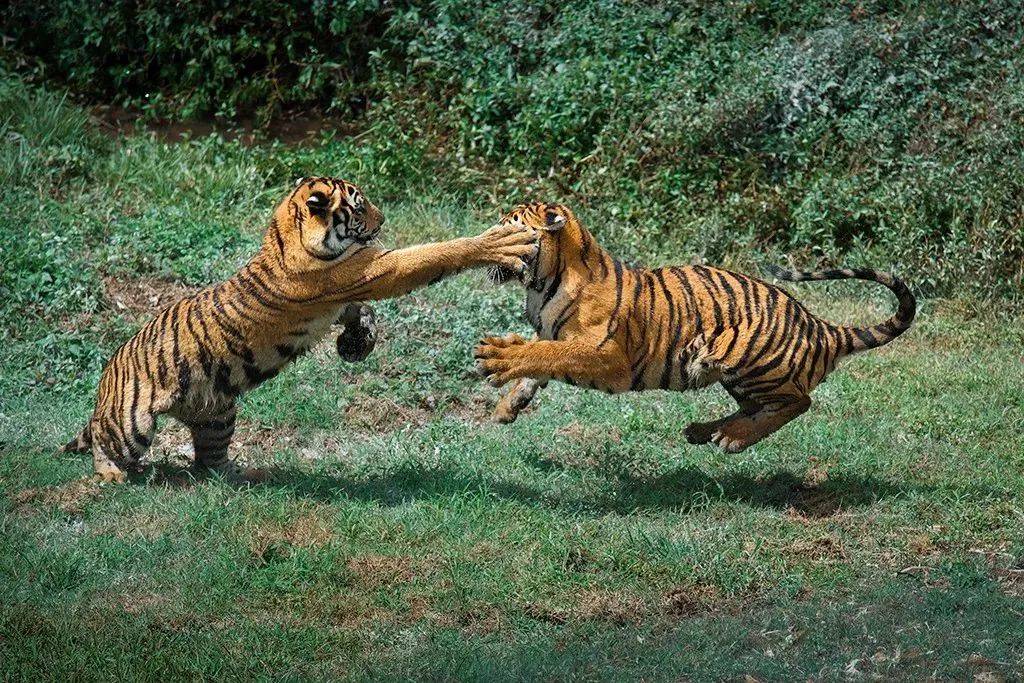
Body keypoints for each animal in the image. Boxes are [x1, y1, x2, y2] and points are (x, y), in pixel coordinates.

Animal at [65, 179, 540, 483]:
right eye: (360, 205)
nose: (385, 219)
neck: (288, 234)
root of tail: (108, 374)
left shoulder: (346, 291)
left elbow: (362, 314)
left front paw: (356, 344)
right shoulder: (370, 269)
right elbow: (436, 253)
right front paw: (499, 242)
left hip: (217, 414)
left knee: (208, 463)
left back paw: (245, 473)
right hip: (131, 423)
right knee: (103, 442)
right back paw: (110, 476)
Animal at [475, 201, 917, 454]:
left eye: (507, 226)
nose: (484, 244)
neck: (541, 282)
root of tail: (820, 326)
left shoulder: (607, 355)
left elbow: (547, 354)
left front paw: (499, 358)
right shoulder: (555, 335)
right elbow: (540, 362)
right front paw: (506, 407)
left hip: (744, 356)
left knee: (798, 402)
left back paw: (732, 439)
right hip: (733, 372)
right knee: (761, 405)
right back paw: (705, 431)